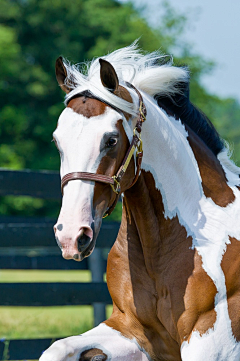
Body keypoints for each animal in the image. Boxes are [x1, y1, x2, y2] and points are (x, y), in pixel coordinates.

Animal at [39, 43, 240, 358]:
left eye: (111, 140)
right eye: (57, 141)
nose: (71, 237)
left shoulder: (209, 344)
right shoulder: (130, 330)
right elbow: (57, 348)